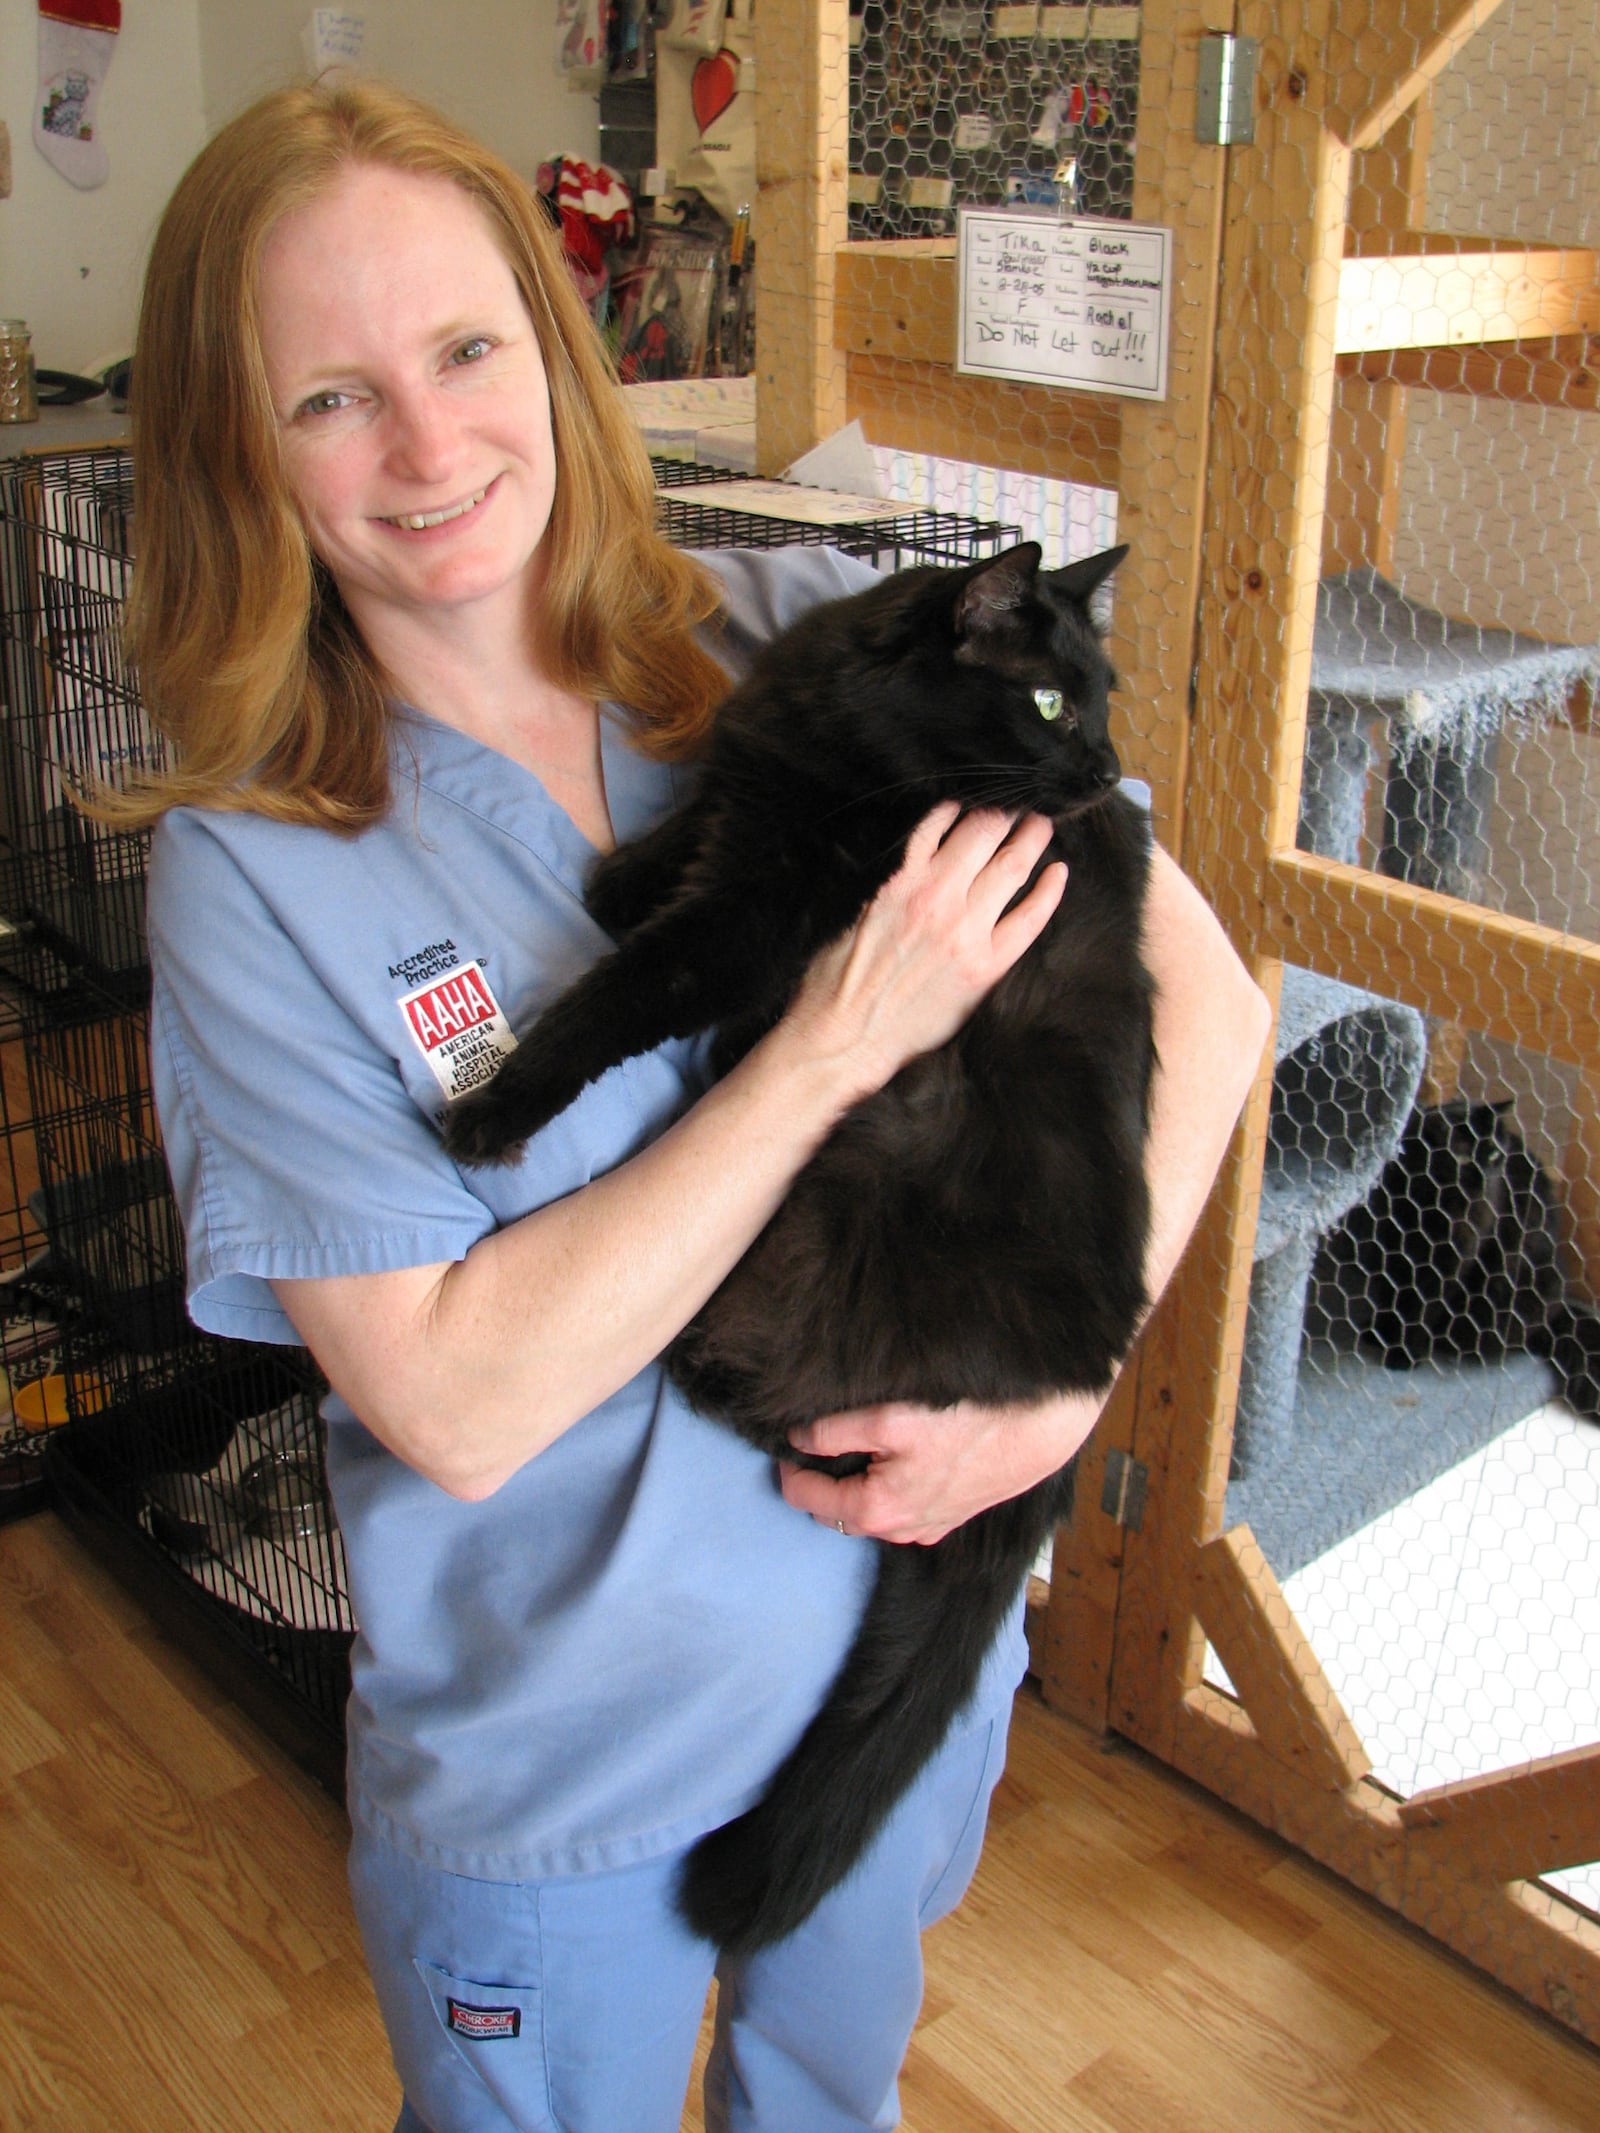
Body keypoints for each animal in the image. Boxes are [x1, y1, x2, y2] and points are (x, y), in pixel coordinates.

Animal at [445, 541, 1160, 1953]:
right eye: (1057, 702)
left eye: (1099, 701)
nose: (1108, 769)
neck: (844, 741)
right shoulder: (748, 798)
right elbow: (660, 856)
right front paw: (618, 872)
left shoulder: (766, 915)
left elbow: (623, 989)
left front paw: (500, 1108)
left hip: (839, 1200)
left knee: (777, 1412)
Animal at [1314, 1100, 1600, 1416]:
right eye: (1461, 1158)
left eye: (1493, 1154)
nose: (1482, 1179)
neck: (1428, 1204)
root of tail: (1559, 1311)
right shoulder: (1391, 1252)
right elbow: (1391, 1298)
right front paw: (1381, 1332)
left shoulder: (1450, 1263)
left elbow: (1423, 1311)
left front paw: (1404, 1354)